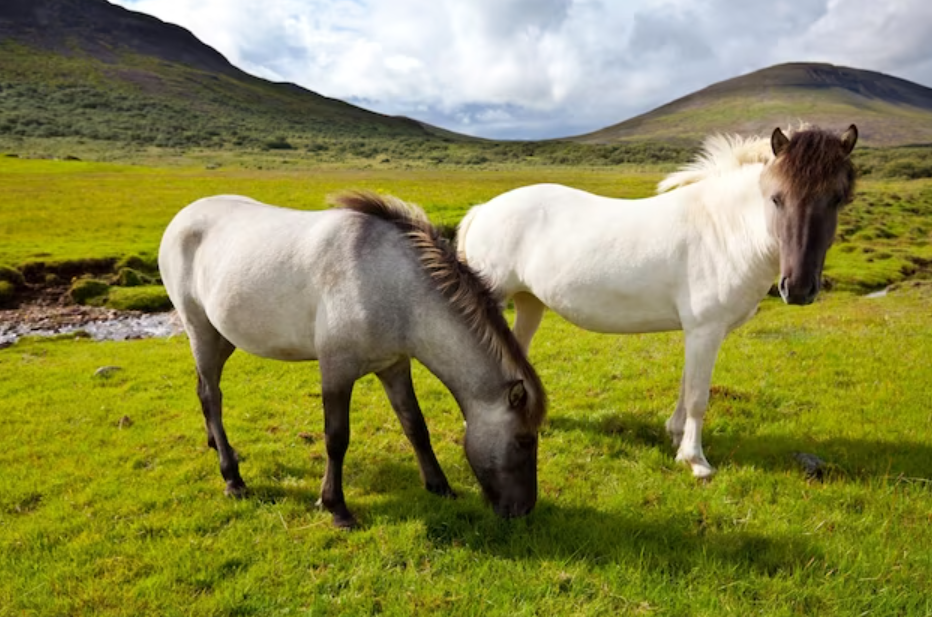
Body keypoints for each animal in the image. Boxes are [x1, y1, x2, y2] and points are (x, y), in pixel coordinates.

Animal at [159, 191, 548, 524]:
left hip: (222, 338)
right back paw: (232, 478)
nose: (523, 510)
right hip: (200, 330)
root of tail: (181, 218)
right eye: (524, 440)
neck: (393, 285)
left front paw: (440, 486)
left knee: (205, 391)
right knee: (211, 395)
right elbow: (336, 438)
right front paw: (336, 507)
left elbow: (415, 425)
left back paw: (219, 447)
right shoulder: (337, 370)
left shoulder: (394, 366)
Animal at [456, 124, 856, 476]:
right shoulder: (705, 330)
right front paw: (696, 461)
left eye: (838, 199)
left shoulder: (700, 332)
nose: (799, 288)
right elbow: (698, 395)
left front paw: (677, 436)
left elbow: (687, 383)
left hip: (529, 302)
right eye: (776, 198)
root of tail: (483, 209)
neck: (724, 230)